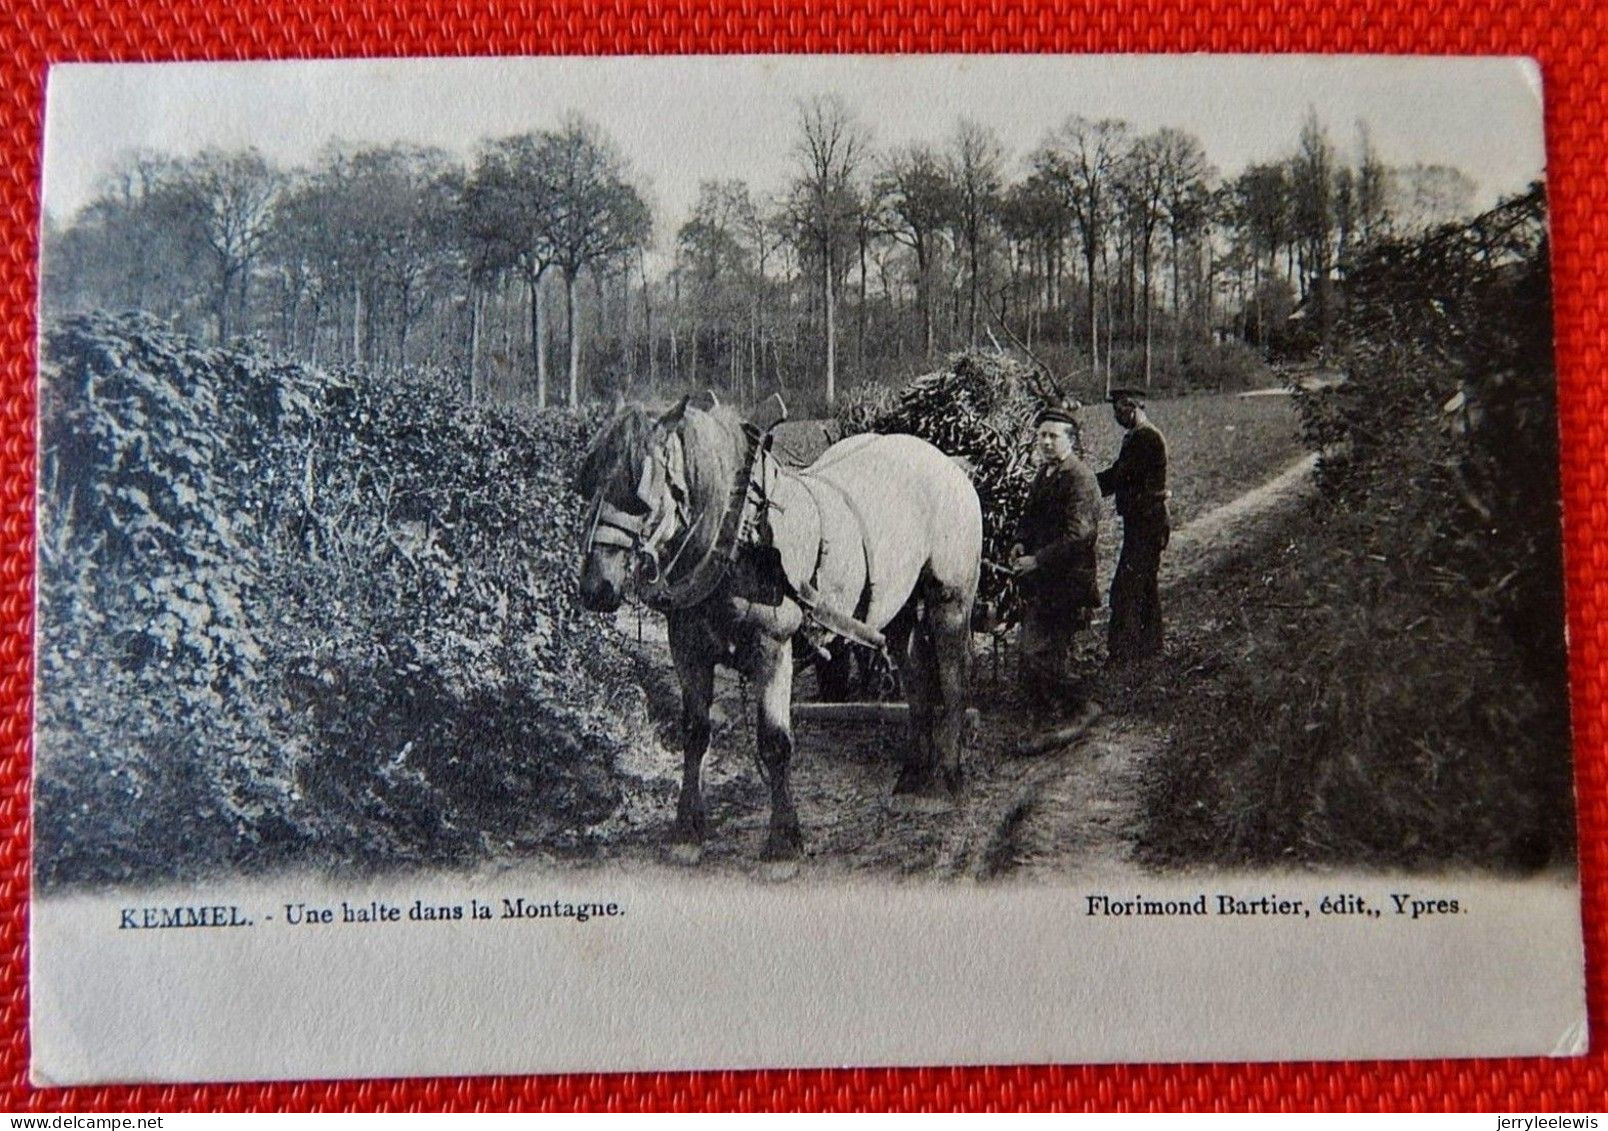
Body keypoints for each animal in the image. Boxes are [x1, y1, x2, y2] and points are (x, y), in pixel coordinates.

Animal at [572, 398, 984, 855]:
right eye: (589, 485)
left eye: (639, 495)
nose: (597, 587)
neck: (738, 534)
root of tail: (947, 462)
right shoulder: (687, 649)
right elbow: (695, 733)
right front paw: (688, 826)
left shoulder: (773, 647)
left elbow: (775, 741)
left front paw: (784, 837)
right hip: (899, 608)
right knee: (916, 678)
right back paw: (913, 775)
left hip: (951, 598)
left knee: (954, 678)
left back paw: (948, 778)